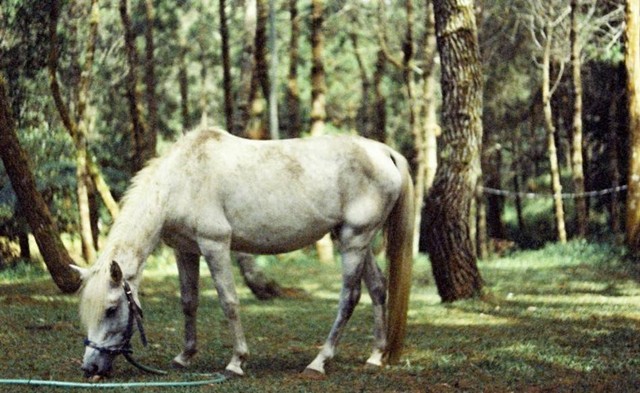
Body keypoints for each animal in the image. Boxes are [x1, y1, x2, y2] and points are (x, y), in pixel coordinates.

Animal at [74, 127, 416, 378]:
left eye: (111, 309)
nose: (90, 367)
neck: (181, 179)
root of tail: (383, 152)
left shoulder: (215, 245)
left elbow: (229, 302)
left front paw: (237, 361)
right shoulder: (185, 250)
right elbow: (189, 302)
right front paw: (185, 356)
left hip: (354, 241)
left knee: (349, 297)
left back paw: (319, 362)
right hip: (355, 239)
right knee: (377, 288)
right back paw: (376, 355)